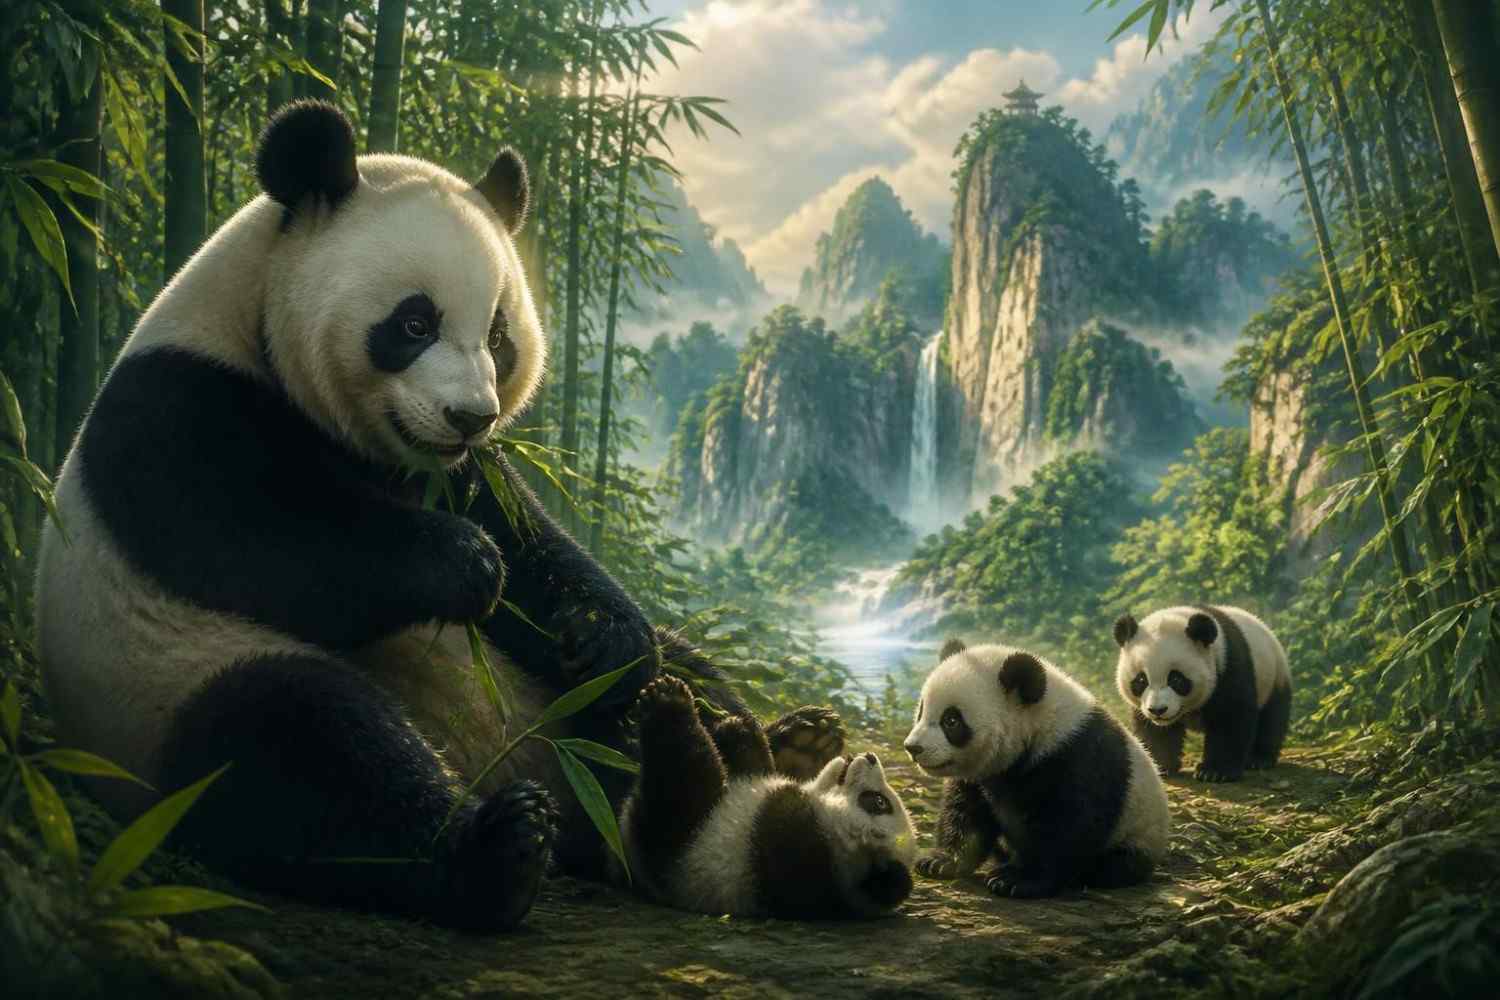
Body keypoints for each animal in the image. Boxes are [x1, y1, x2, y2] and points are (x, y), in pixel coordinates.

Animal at [33, 101, 699, 931]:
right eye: (413, 324)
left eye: (499, 336)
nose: (469, 416)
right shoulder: (174, 406)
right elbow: (261, 543)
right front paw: (461, 563)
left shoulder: (456, 472)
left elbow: (535, 548)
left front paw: (600, 636)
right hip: (163, 694)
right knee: (301, 752)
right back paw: (499, 850)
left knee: (680, 684)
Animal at [619, 675, 916, 918]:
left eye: (879, 802)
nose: (870, 757)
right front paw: (739, 729)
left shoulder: (720, 844)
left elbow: (683, 782)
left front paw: (668, 699)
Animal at [903, 640, 1169, 898]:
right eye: (921, 711)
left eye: (951, 721)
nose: (913, 747)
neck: (1039, 727)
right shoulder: (982, 776)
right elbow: (965, 813)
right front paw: (940, 862)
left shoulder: (1075, 757)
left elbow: (1066, 826)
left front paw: (1016, 880)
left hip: (1138, 829)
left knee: (1119, 862)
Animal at [1113, 605, 1292, 782]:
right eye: (1141, 680)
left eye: (1176, 679)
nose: (1158, 710)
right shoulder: (1144, 709)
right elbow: (1154, 731)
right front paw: (1159, 765)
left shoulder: (1228, 667)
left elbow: (1230, 718)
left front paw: (1214, 772)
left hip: (1274, 676)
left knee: (1272, 718)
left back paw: (1258, 759)